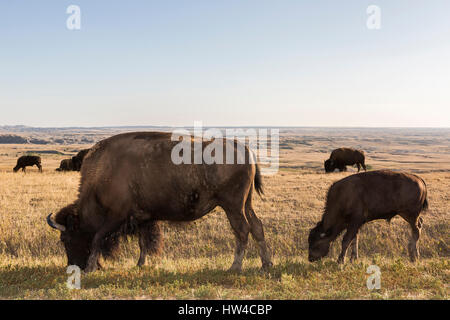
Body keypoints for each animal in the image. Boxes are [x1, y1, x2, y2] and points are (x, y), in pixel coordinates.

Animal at [46, 132, 270, 272]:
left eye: (65, 239)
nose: (73, 266)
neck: (103, 173)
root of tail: (245, 149)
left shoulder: (116, 216)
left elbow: (97, 238)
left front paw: (91, 267)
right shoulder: (142, 218)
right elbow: (143, 242)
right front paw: (140, 264)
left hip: (232, 206)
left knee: (242, 230)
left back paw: (235, 267)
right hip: (246, 204)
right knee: (257, 226)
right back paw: (265, 265)